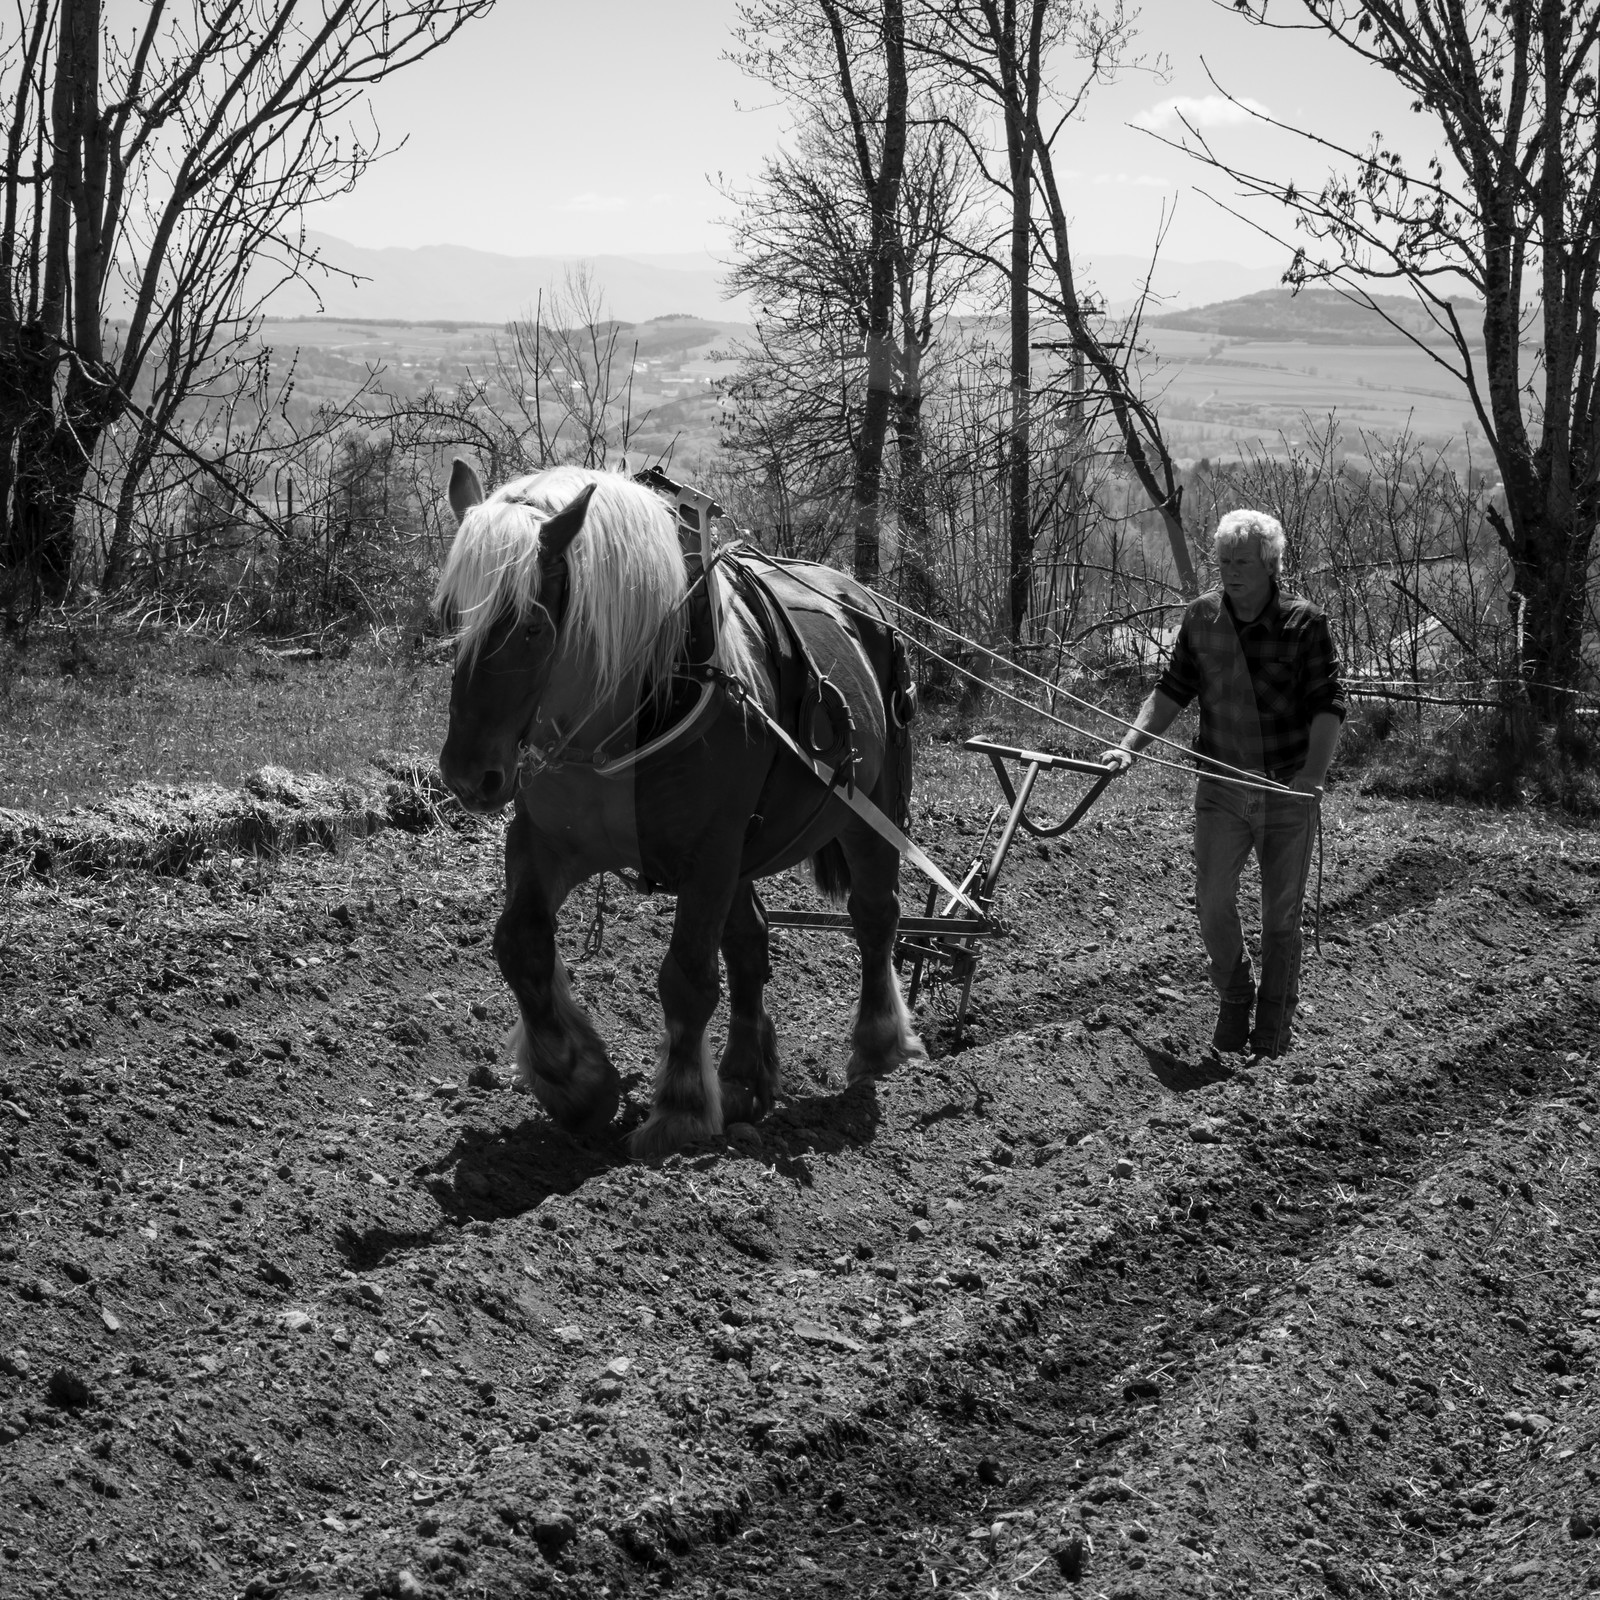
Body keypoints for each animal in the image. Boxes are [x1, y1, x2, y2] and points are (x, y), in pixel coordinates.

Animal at [433, 461, 925, 1157]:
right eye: (454, 616)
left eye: (532, 626)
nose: (468, 775)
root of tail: (865, 601)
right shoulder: (546, 840)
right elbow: (521, 943)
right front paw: (574, 1080)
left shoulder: (708, 857)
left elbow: (687, 977)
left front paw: (681, 1109)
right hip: (746, 851)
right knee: (751, 941)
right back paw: (744, 1077)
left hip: (866, 812)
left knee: (874, 915)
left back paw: (879, 1042)